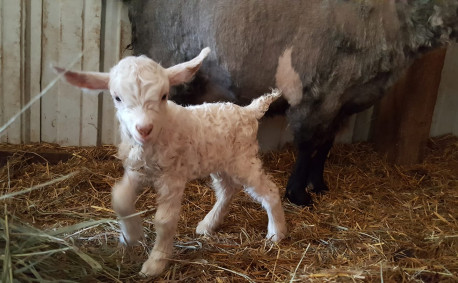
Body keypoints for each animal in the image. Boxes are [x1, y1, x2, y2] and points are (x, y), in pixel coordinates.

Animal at [56, 48, 286, 278]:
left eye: (164, 95)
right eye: (117, 98)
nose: (144, 129)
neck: (158, 134)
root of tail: (249, 111)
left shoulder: (172, 178)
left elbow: (164, 221)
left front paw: (156, 263)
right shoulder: (136, 171)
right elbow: (120, 199)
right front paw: (131, 235)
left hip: (244, 160)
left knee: (269, 191)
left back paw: (276, 233)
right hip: (221, 163)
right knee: (227, 190)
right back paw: (208, 224)